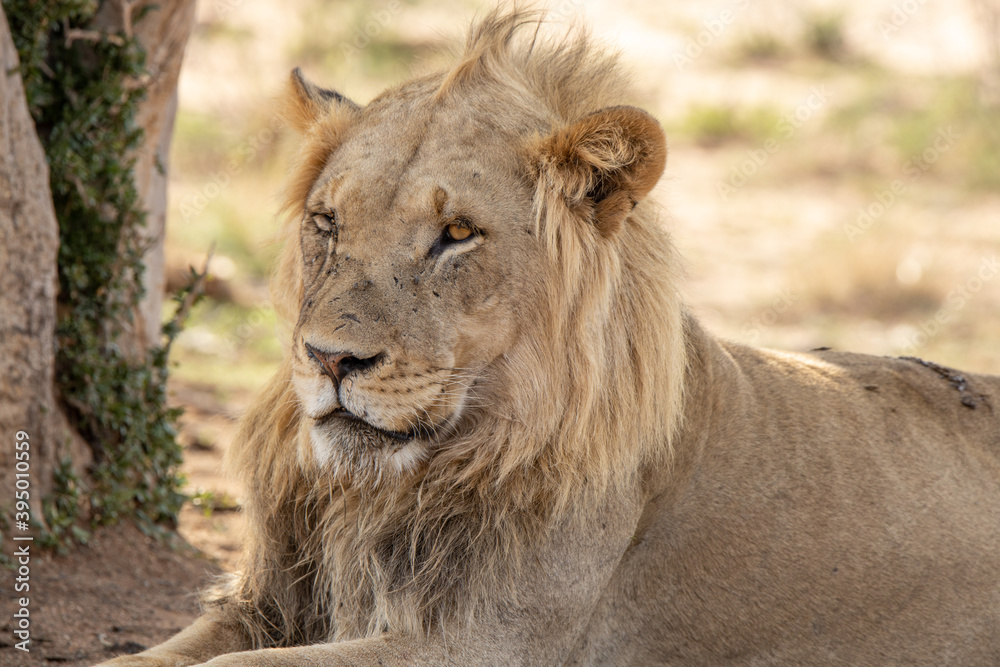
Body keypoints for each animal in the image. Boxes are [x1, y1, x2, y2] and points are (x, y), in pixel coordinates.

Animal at [103, 6, 1000, 667]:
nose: (328, 359)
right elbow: (150, 659)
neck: (382, 489)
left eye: (457, 234)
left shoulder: (489, 640)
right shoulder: (271, 597)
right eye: (327, 222)